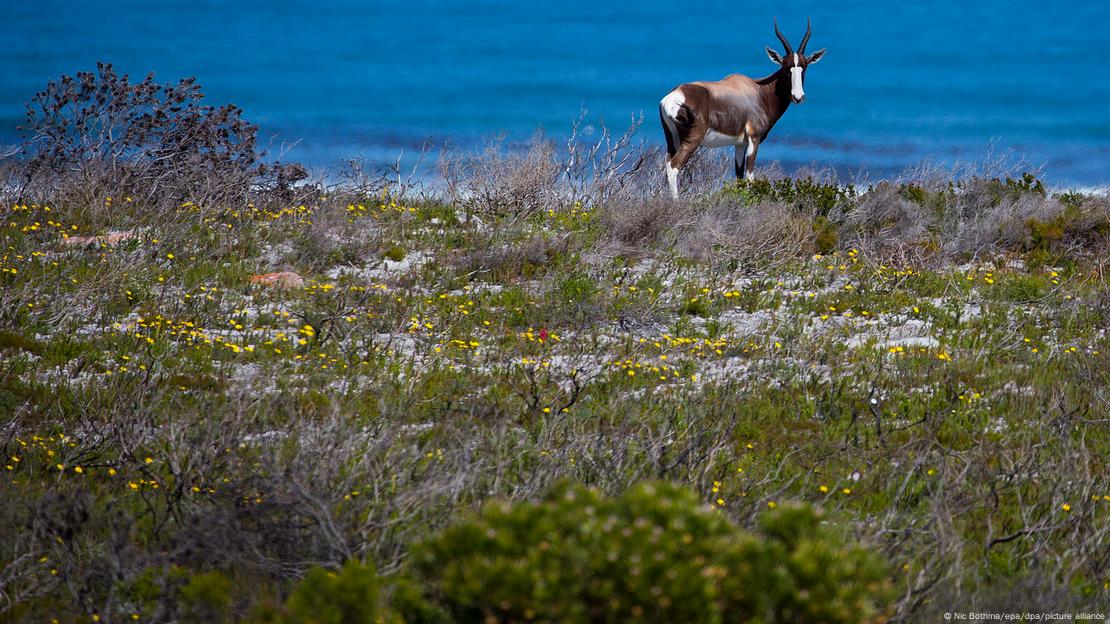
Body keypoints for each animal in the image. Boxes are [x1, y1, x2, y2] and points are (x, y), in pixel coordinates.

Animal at [657, 19, 825, 194]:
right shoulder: (753, 140)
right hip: (692, 140)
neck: (758, 91)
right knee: (674, 166)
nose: (798, 97)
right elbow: (750, 178)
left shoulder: (739, 144)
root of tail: (673, 97)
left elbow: (739, 178)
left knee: (667, 164)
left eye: (804, 68)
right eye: (786, 68)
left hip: (672, 140)